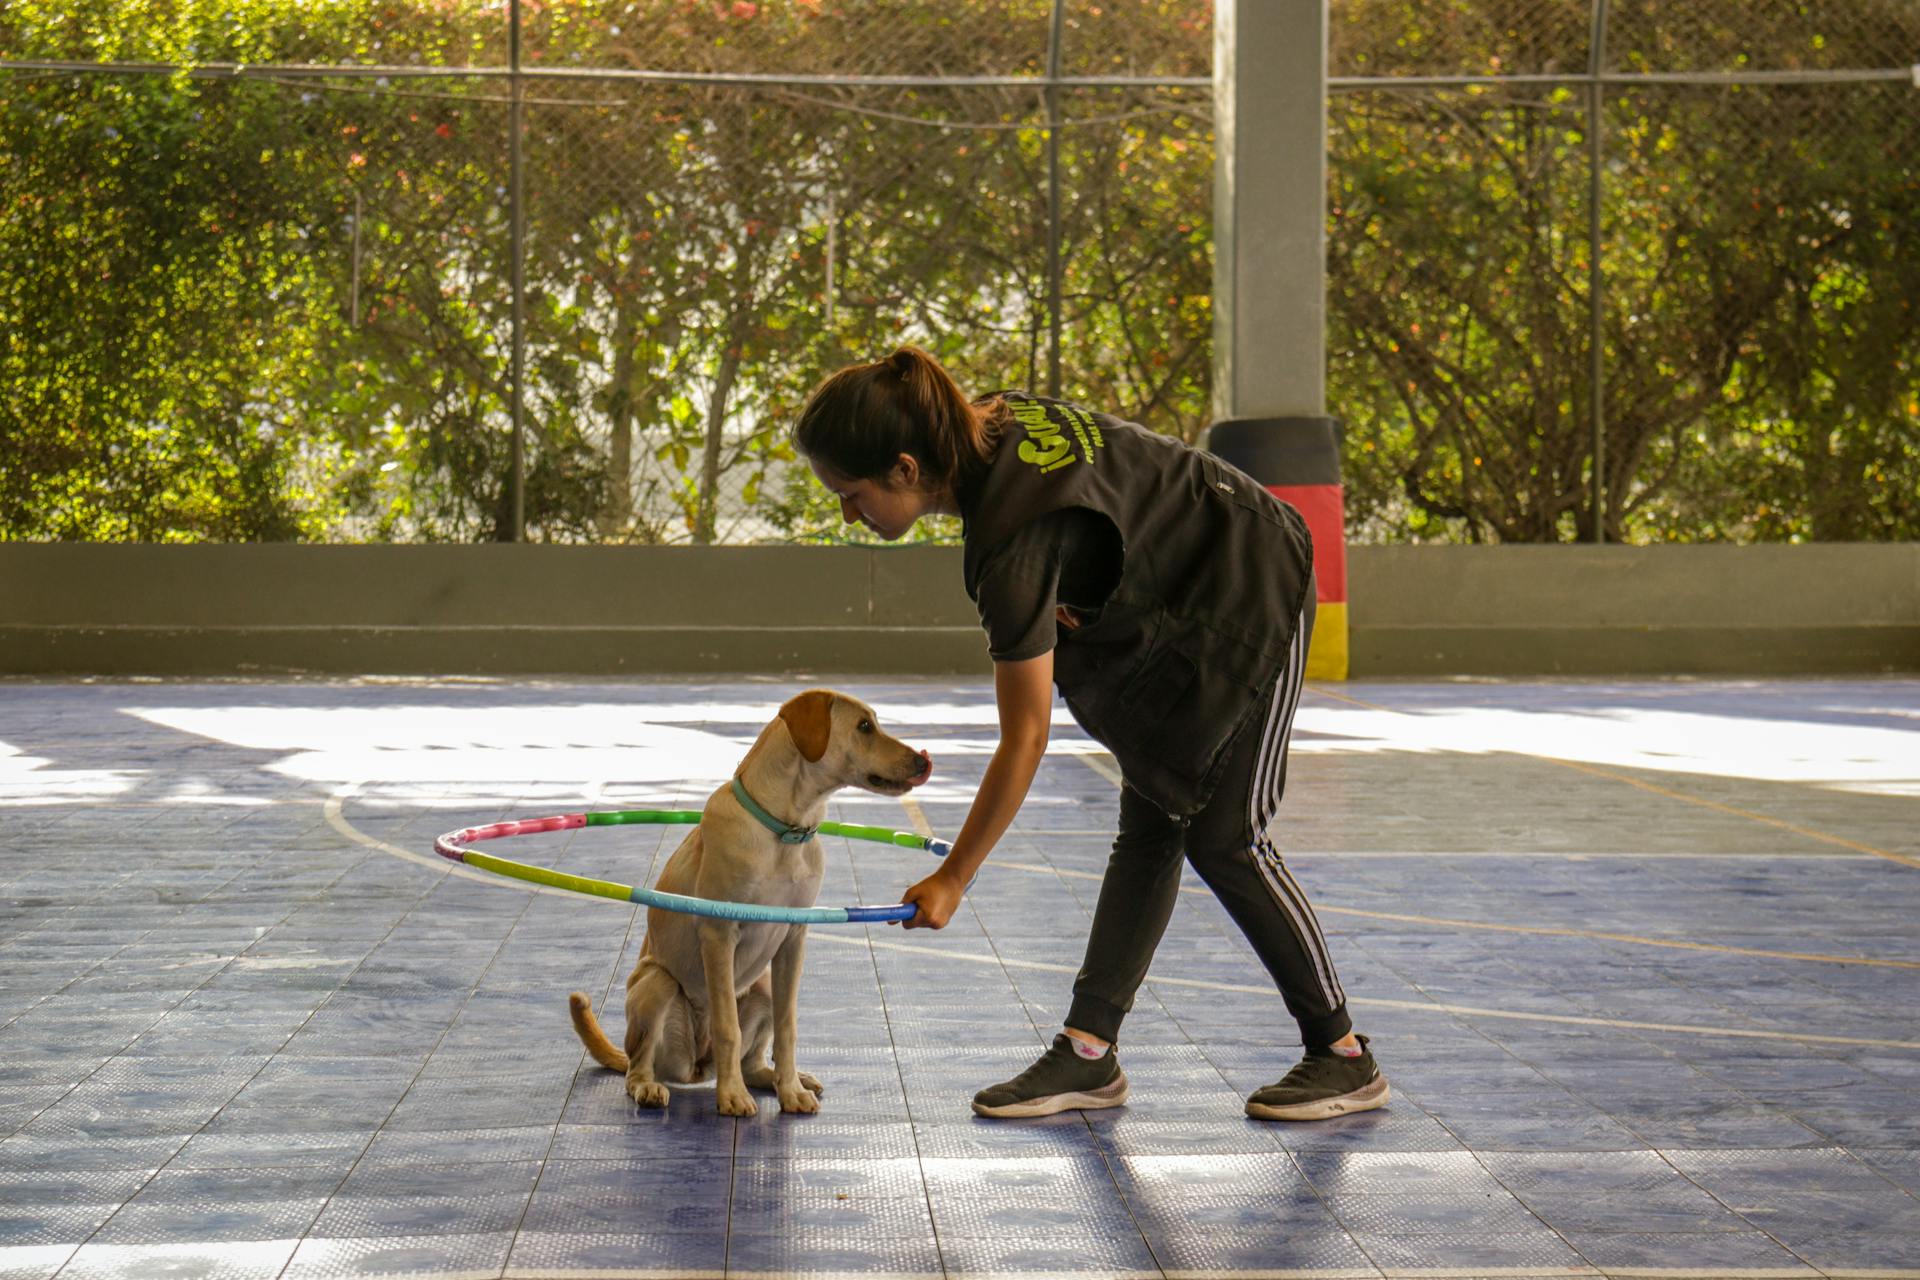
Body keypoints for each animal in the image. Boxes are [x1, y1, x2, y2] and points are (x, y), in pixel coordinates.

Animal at [568, 687, 929, 1113]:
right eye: (864, 726)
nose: (923, 760)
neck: (785, 831)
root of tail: (697, 1068)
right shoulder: (719, 934)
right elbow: (728, 1027)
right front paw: (732, 1096)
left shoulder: (793, 938)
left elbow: (788, 1027)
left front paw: (791, 1090)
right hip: (658, 984)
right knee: (638, 1066)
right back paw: (651, 1087)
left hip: (763, 985)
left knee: (753, 1061)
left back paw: (783, 1079)